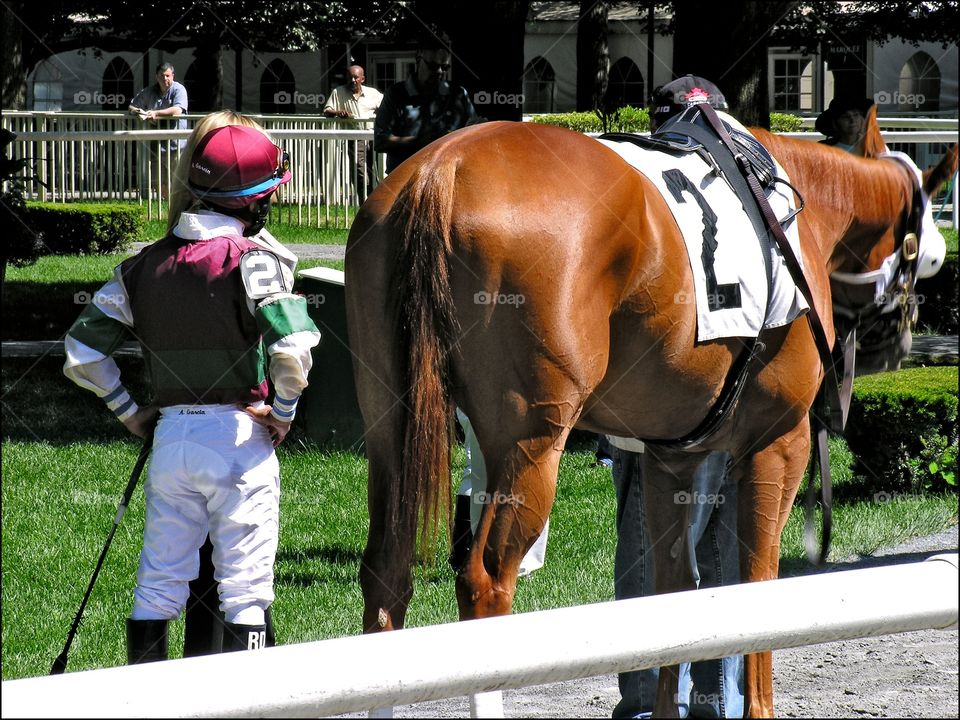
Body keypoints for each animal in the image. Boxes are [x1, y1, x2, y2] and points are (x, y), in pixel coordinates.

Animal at [343, 108, 957, 717]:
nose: (897, 344)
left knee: (386, 575)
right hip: (529, 442)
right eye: (926, 256)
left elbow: (670, 592)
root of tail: (442, 171)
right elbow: (756, 581)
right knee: (485, 580)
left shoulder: (670, 460)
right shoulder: (779, 442)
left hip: (389, 426)